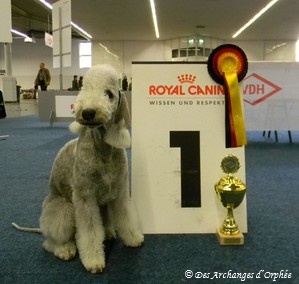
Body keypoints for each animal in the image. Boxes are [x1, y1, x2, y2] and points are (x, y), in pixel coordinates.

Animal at [38, 64, 144, 272]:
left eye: (108, 94)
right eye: (83, 89)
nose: (87, 112)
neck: (102, 147)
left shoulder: (119, 191)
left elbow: (126, 216)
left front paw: (133, 238)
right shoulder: (85, 197)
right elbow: (89, 232)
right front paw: (94, 260)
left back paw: (109, 233)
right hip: (64, 209)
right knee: (50, 241)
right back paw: (65, 249)